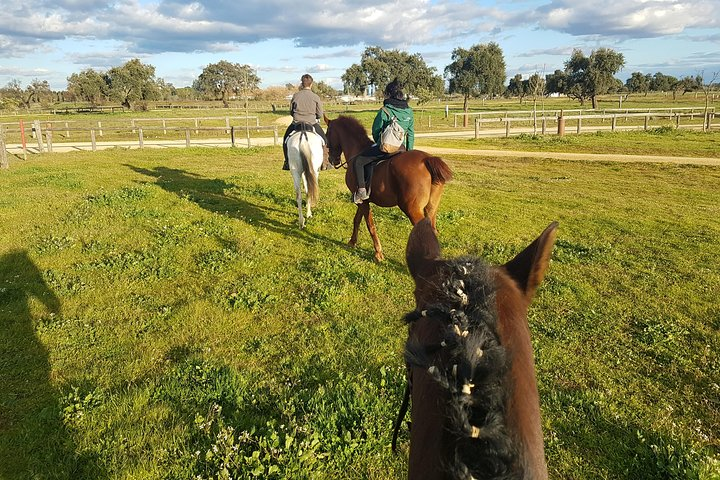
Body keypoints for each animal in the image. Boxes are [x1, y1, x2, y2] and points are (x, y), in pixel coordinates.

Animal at [322, 114, 450, 260]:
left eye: (327, 134)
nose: (331, 160)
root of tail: (427, 160)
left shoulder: (363, 202)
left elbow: (370, 225)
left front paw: (378, 252)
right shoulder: (362, 201)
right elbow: (357, 220)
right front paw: (352, 242)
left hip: (412, 210)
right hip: (431, 209)